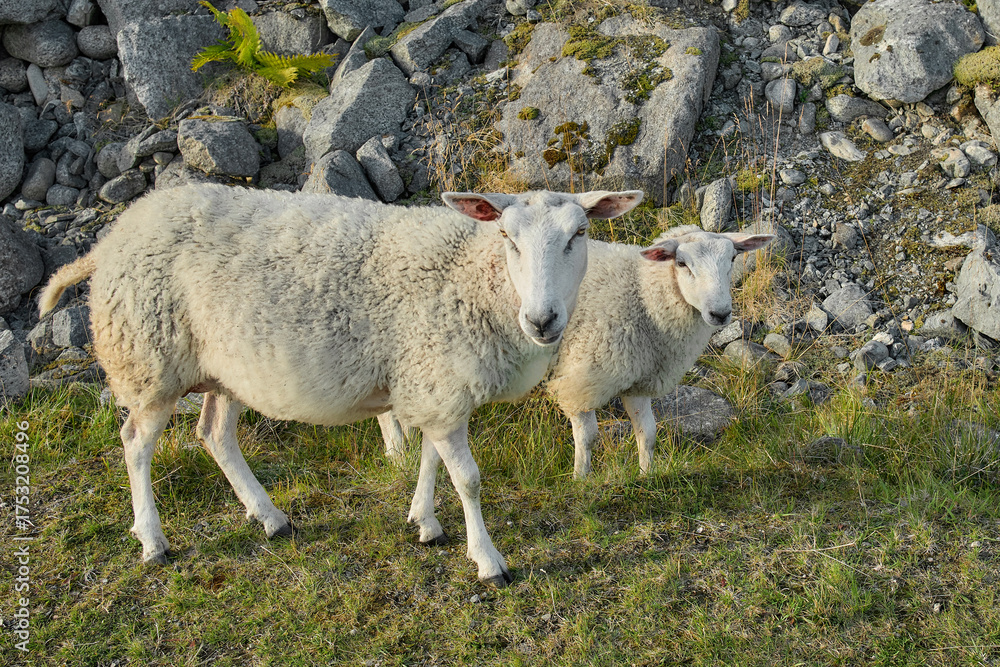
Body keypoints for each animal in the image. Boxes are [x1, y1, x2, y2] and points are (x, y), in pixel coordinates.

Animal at [38, 182, 643, 586]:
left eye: (580, 234)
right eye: (507, 237)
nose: (543, 320)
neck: (476, 278)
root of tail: (112, 237)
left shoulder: (427, 381)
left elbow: (430, 459)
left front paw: (425, 521)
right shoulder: (439, 384)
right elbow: (468, 480)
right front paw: (488, 560)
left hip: (223, 370)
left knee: (213, 435)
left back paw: (271, 518)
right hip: (149, 359)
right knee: (136, 445)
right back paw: (153, 541)